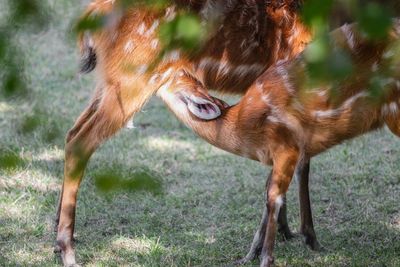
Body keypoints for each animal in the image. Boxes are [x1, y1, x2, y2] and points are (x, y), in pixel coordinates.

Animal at [161, 20, 400, 266]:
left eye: (168, 74)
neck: (242, 125)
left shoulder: (288, 146)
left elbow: (274, 197)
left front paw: (267, 258)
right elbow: (268, 192)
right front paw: (249, 255)